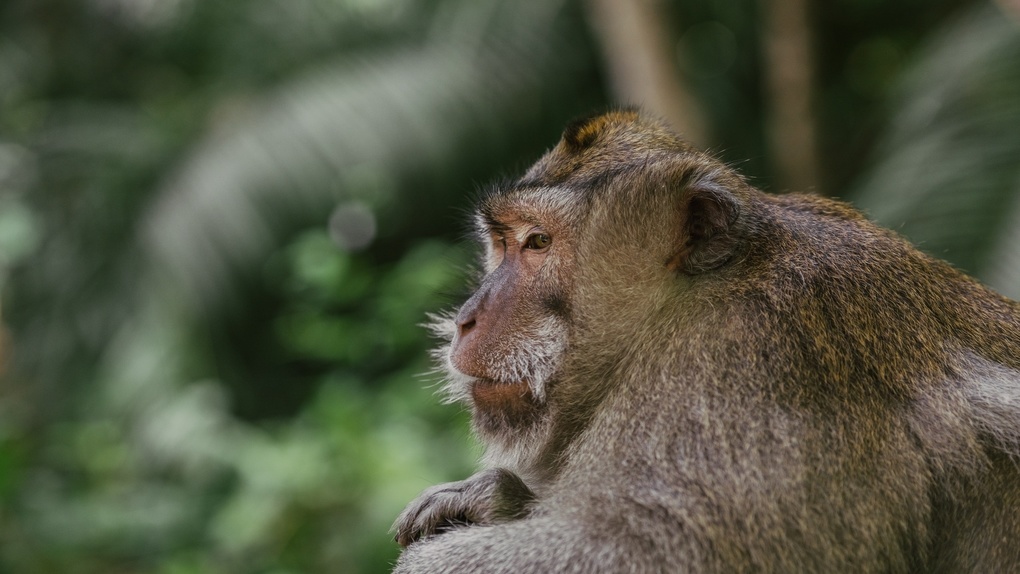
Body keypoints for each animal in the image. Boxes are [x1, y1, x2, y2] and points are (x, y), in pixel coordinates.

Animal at [387, 110, 1020, 570]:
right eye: (501, 242)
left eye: (538, 242)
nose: (468, 318)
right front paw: (496, 497)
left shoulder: (742, 362)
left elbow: (652, 547)